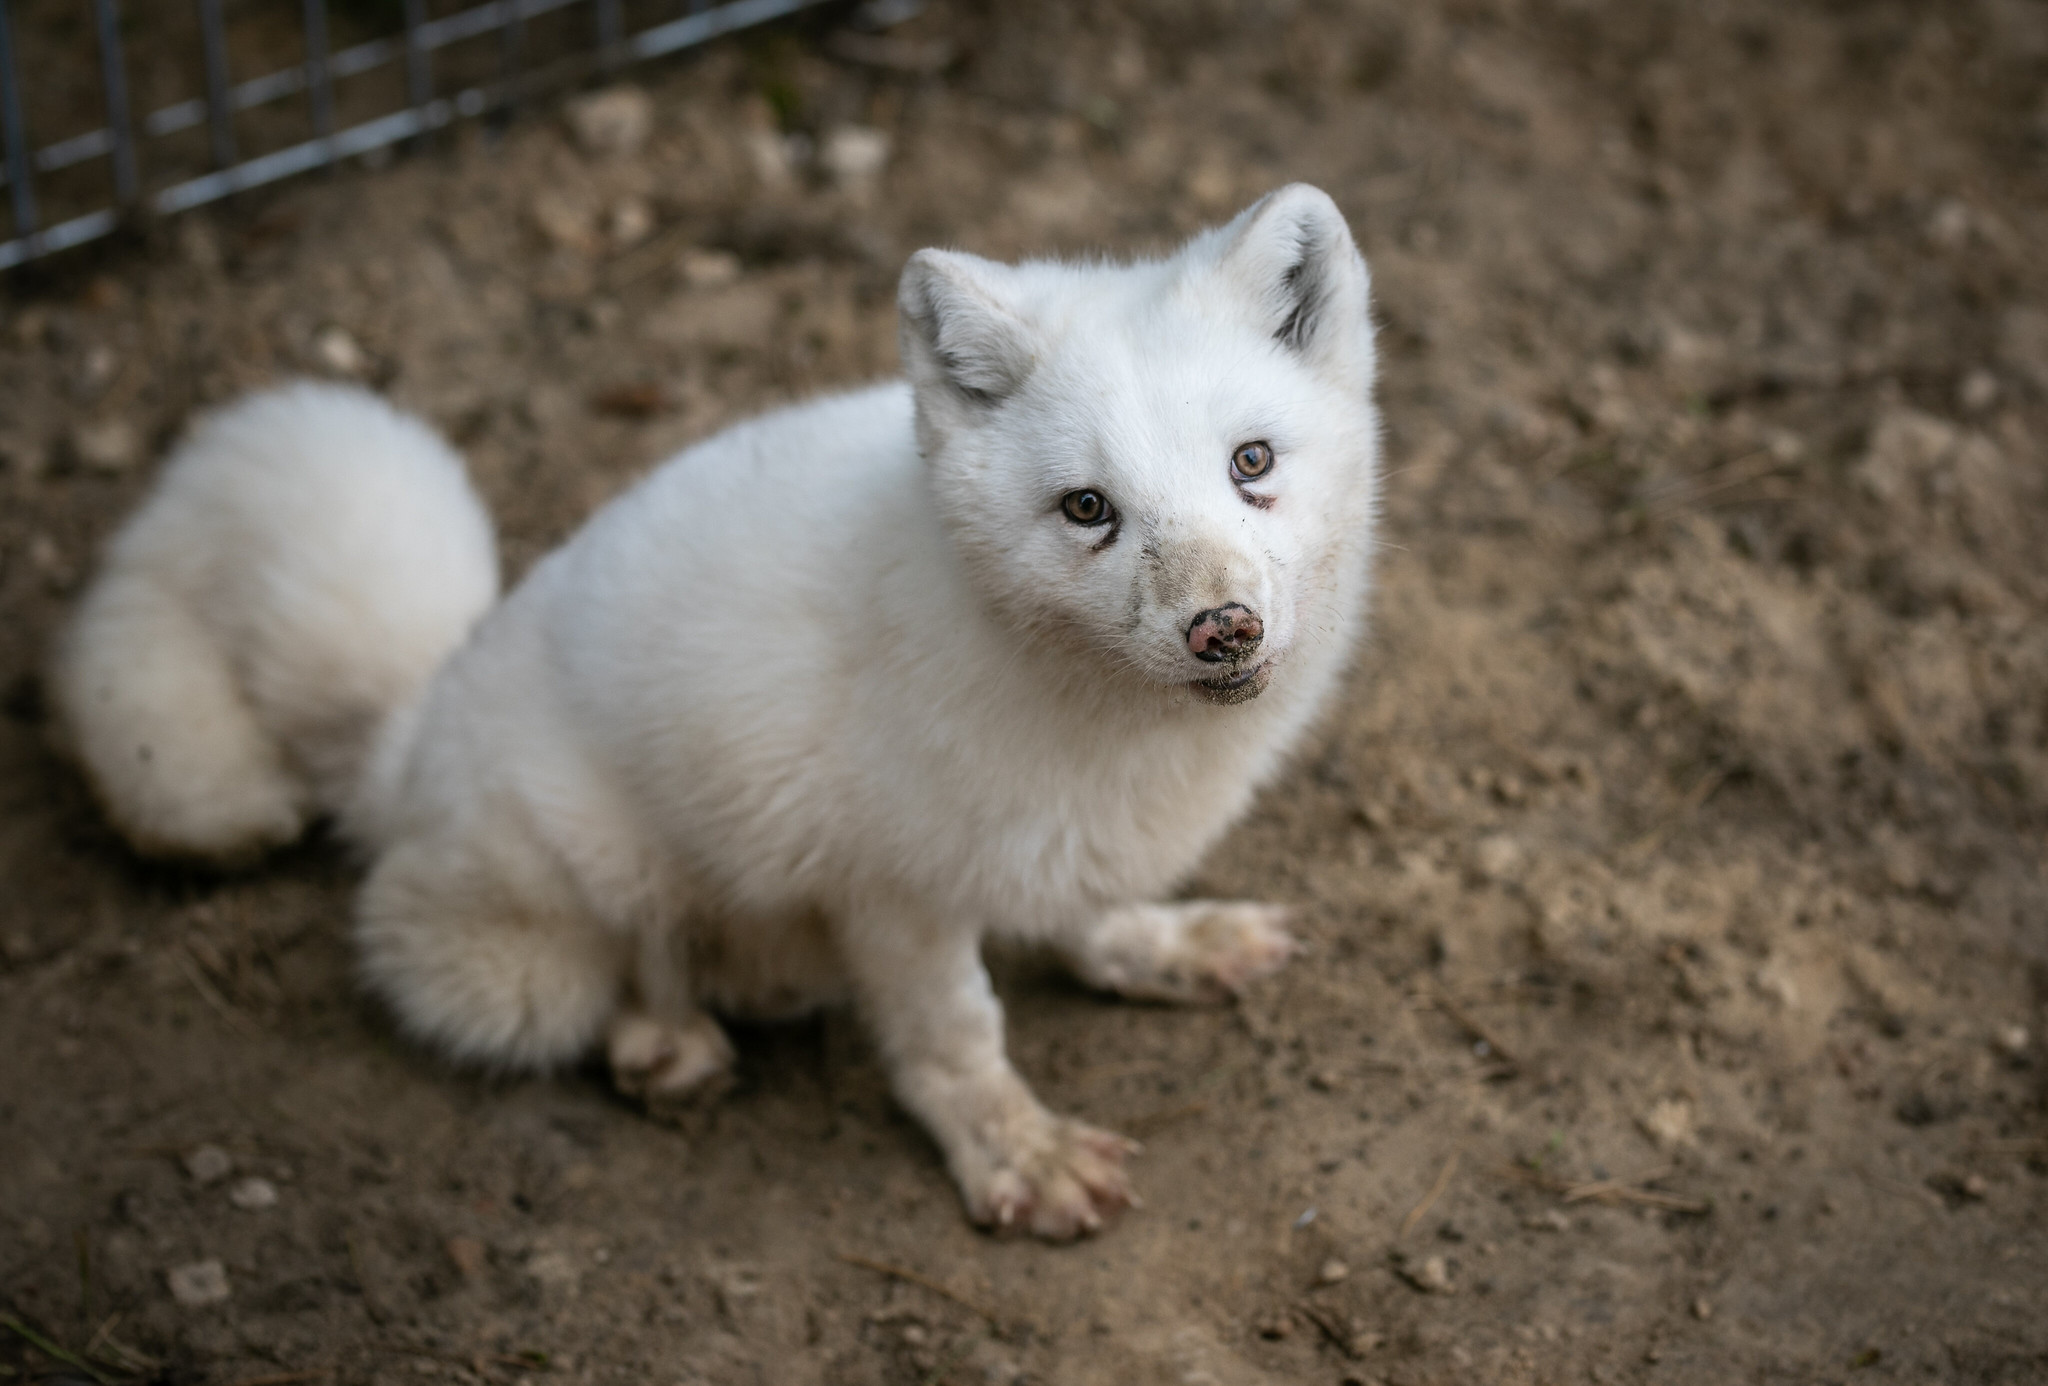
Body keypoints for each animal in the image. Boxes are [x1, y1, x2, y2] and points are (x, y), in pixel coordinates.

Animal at [56, 186, 1384, 1244]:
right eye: (1087, 509)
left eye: (1251, 463)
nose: (1223, 628)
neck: (1103, 727)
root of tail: (417, 726)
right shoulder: (892, 893)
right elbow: (956, 1038)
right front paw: (1015, 1152)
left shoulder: (1052, 838)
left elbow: (1088, 915)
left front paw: (1163, 945)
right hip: (559, 916)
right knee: (539, 973)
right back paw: (663, 1044)